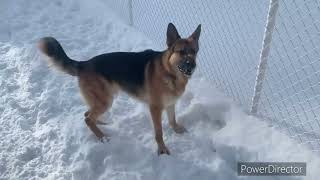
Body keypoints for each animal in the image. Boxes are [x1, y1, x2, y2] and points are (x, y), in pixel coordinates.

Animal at [38, 22, 201, 155]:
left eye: (194, 52)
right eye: (181, 52)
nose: (192, 66)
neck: (169, 71)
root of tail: (84, 64)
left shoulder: (170, 103)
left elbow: (172, 119)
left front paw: (176, 129)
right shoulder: (155, 108)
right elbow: (159, 132)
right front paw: (162, 149)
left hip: (102, 100)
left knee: (87, 114)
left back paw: (100, 124)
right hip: (105, 101)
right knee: (88, 118)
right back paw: (102, 137)